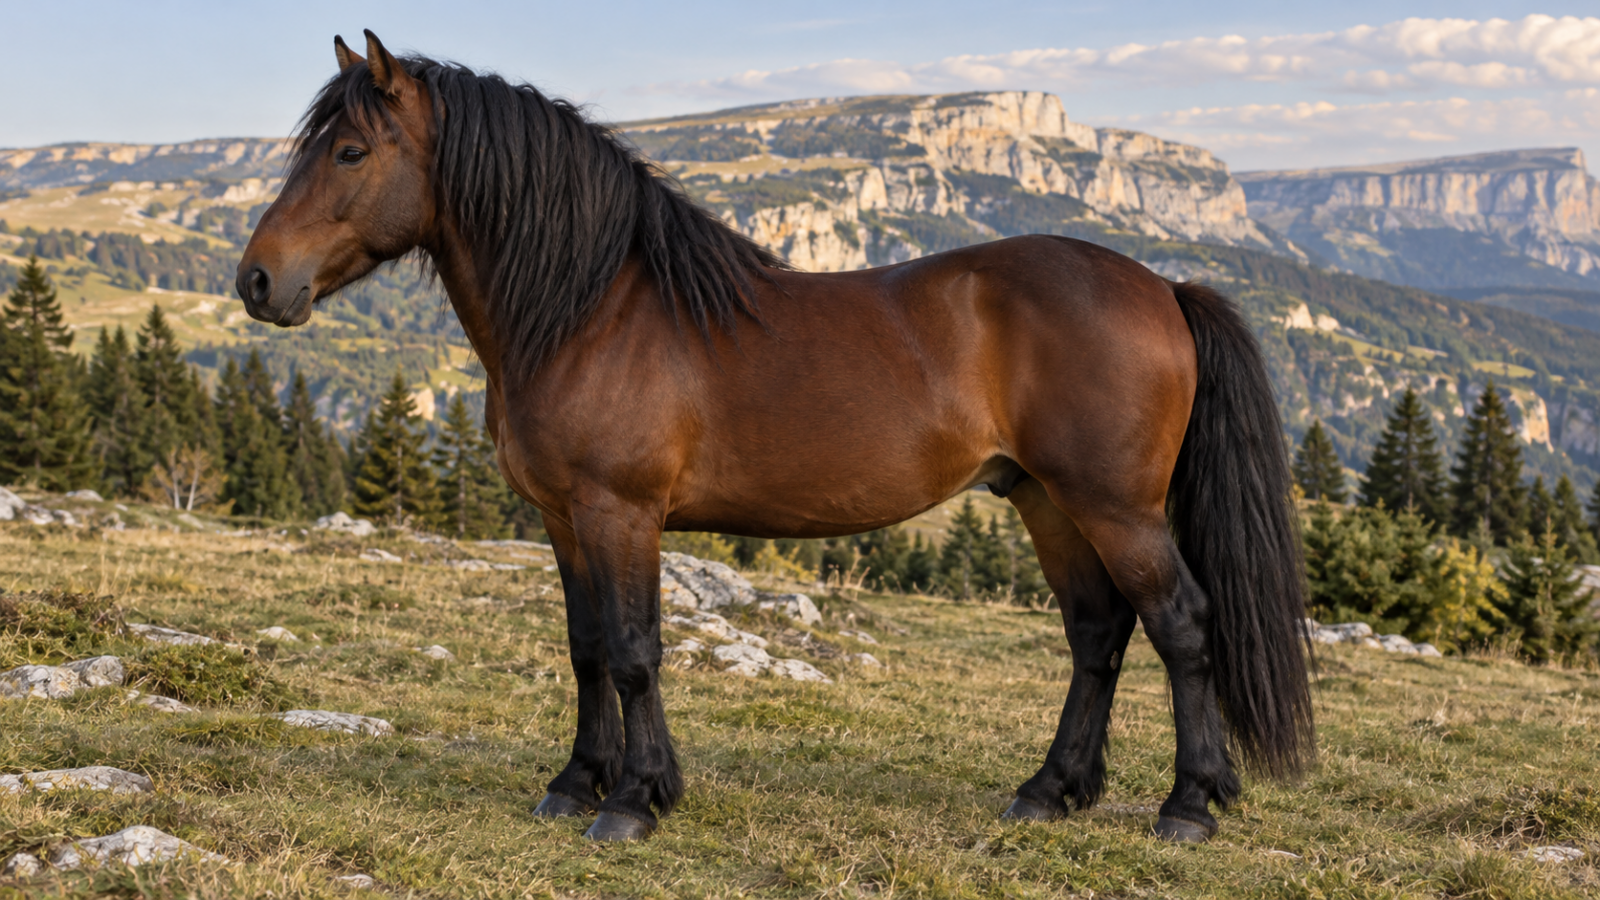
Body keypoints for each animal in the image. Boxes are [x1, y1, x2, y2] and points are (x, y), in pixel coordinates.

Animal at [237, 31, 1314, 843]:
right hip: (1046, 500)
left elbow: (633, 649)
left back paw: (1188, 806)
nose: (256, 280)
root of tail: (1160, 286)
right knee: (1097, 634)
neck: (595, 310)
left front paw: (634, 801)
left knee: (1182, 625)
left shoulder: (620, 513)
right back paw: (1048, 792)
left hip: (1115, 506)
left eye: (349, 153)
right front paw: (574, 783)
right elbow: (585, 648)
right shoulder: (561, 518)